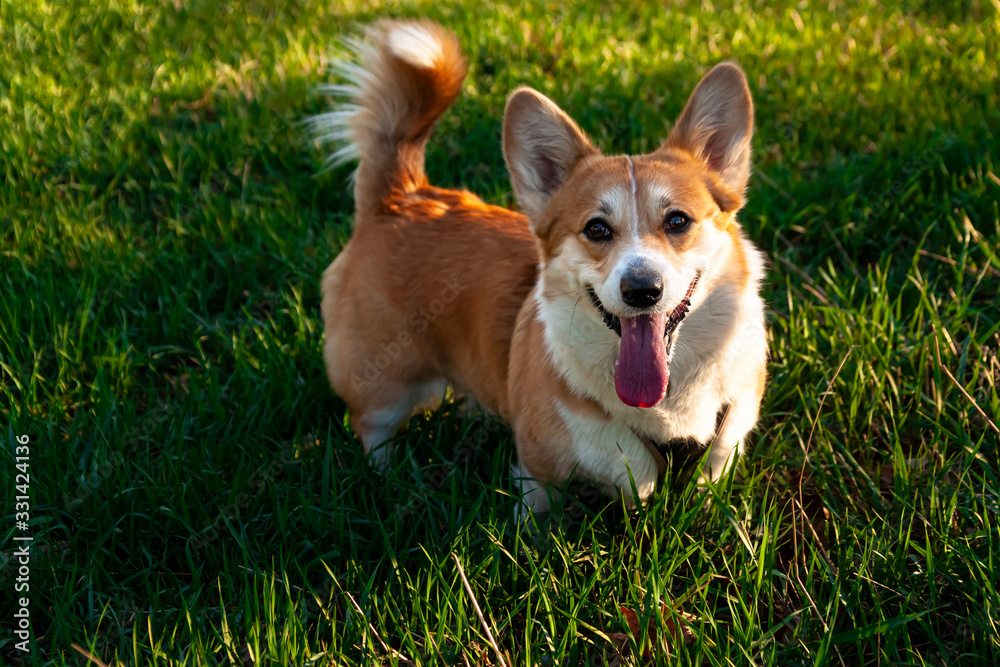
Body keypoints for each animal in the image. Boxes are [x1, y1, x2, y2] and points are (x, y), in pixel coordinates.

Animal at [312, 18, 764, 516]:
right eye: (597, 229)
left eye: (678, 220)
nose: (642, 290)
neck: (663, 403)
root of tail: (401, 195)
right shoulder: (539, 466)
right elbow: (537, 516)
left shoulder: (723, 448)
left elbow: (708, 482)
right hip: (383, 379)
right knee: (372, 425)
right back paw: (385, 476)